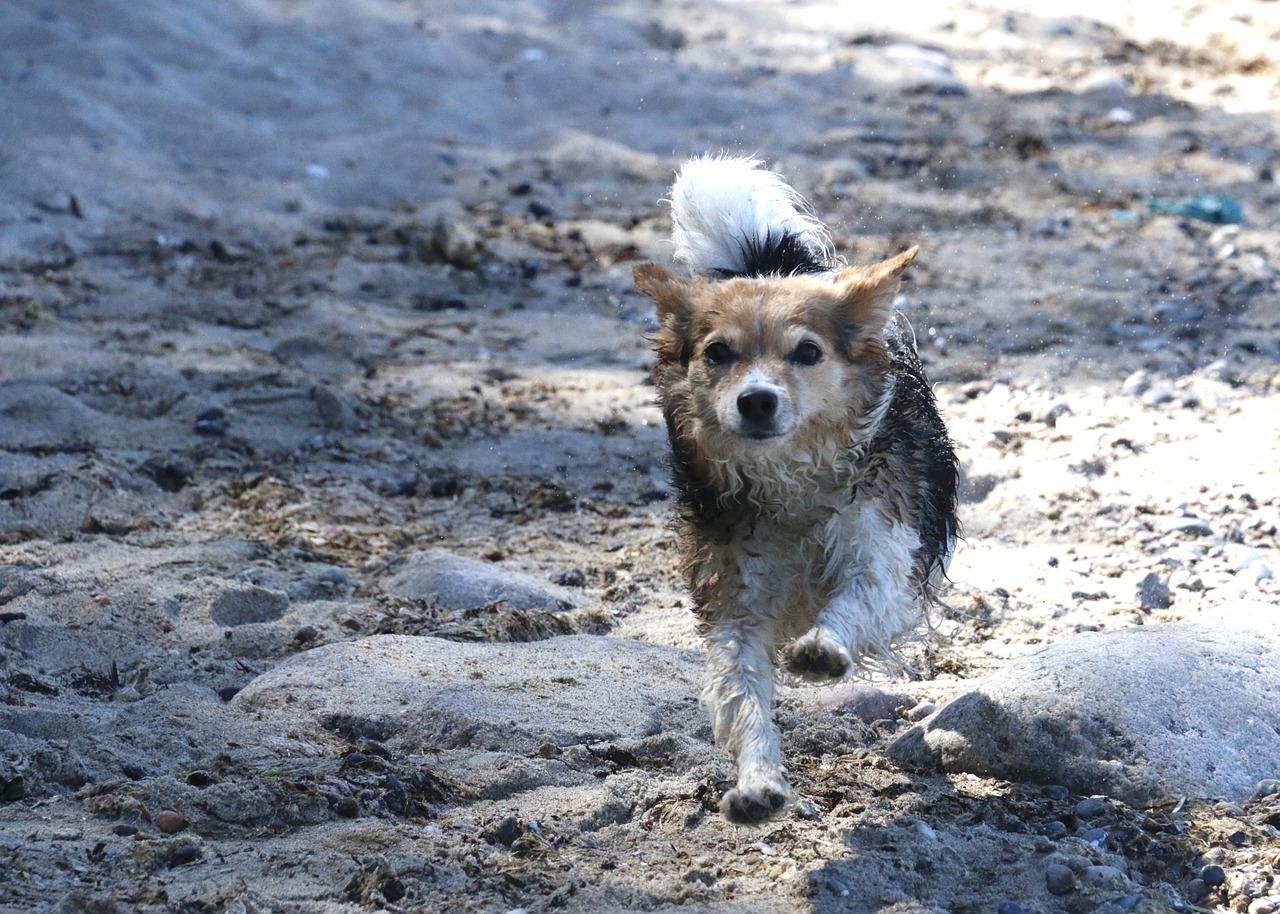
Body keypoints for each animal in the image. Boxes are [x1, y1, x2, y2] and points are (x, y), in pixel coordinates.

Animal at [634, 152, 957, 824]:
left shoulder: (882, 548)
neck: (788, 483)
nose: (756, 400)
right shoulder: (733, 597)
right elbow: (743, 698)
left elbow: (856, 599)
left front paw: (823, 649)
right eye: (718, 353)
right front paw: (759, 783)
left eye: (807, 352)